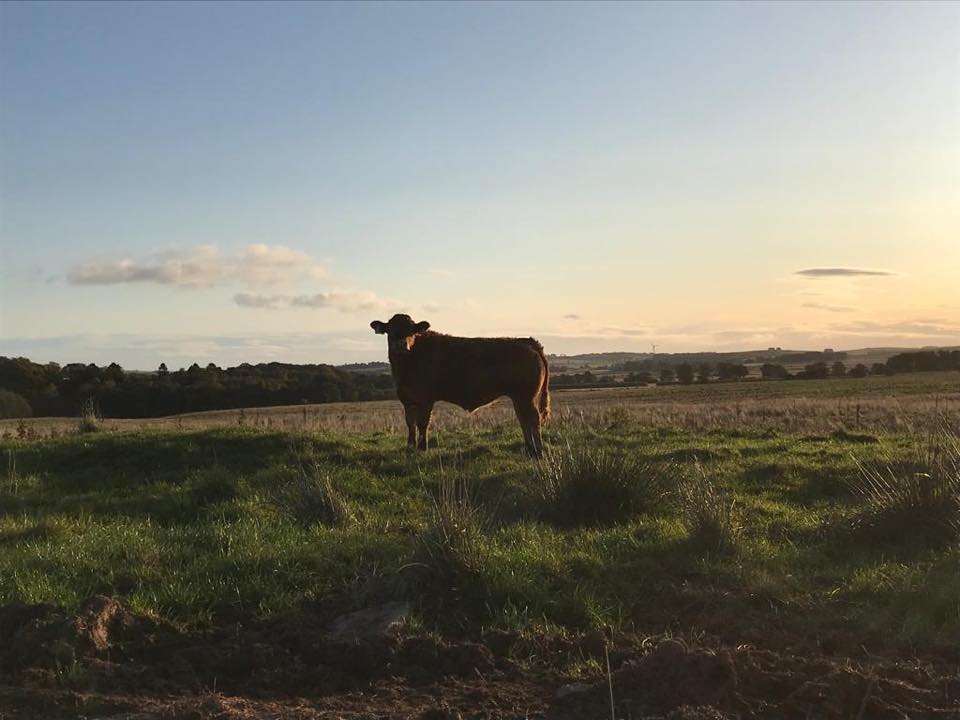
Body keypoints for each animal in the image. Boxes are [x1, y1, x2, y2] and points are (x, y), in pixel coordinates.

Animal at [368, 314, 548, 456]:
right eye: (391, 330)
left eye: (412, 330)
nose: (401, 345)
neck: (406, 365)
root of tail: (528, 341)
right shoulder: (407, 399)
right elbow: (410, 423)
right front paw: (410, 447)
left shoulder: (426, 400)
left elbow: (422, 423)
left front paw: (422, 448)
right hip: (519, 398)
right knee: (524, 420)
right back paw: (529, 449)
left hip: (526, 397)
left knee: (533, 419)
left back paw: (538, 452)